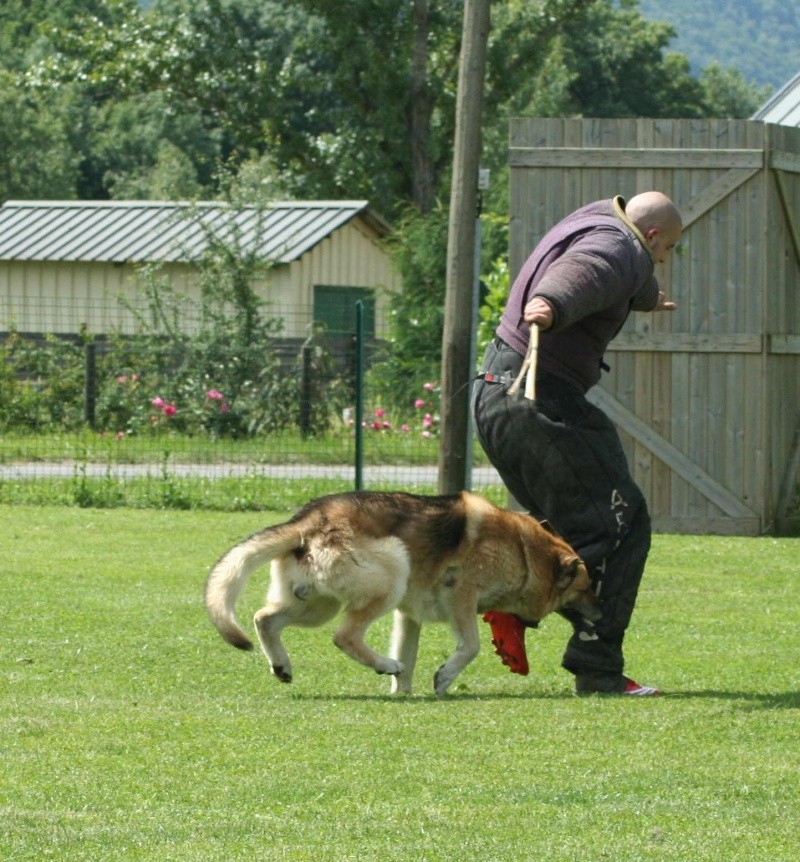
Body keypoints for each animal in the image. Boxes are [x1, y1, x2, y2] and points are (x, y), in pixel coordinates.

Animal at [203, 490, 596, 700]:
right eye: (588, 588)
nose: (603, 612)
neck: (525, 552)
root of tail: (308, 520)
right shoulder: (462, 597)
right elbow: (470, 647)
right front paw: (443, 678)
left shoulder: (408, 616)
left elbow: (409, 653)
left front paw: (403, 692)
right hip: (392, 573)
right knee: (344, 636)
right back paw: (383, 664)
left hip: (317, 605)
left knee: (265, 618)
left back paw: (282, 666)